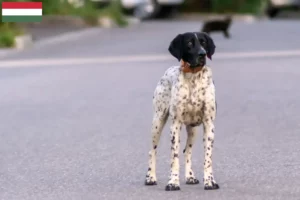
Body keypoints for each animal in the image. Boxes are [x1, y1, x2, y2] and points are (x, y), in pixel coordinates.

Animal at [144, 31, 219, 191]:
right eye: (189, 43)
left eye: (203, 42)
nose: (202, 54)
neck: (193, 77)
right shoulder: (175, 125)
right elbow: (174, 158)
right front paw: (173, 182)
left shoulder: (209, 125)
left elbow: (207, 158)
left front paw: (209, 181)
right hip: (157, 122)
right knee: (152, 151)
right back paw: (150, 177)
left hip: (193, 129)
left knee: (187, 151)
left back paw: (190, 176)